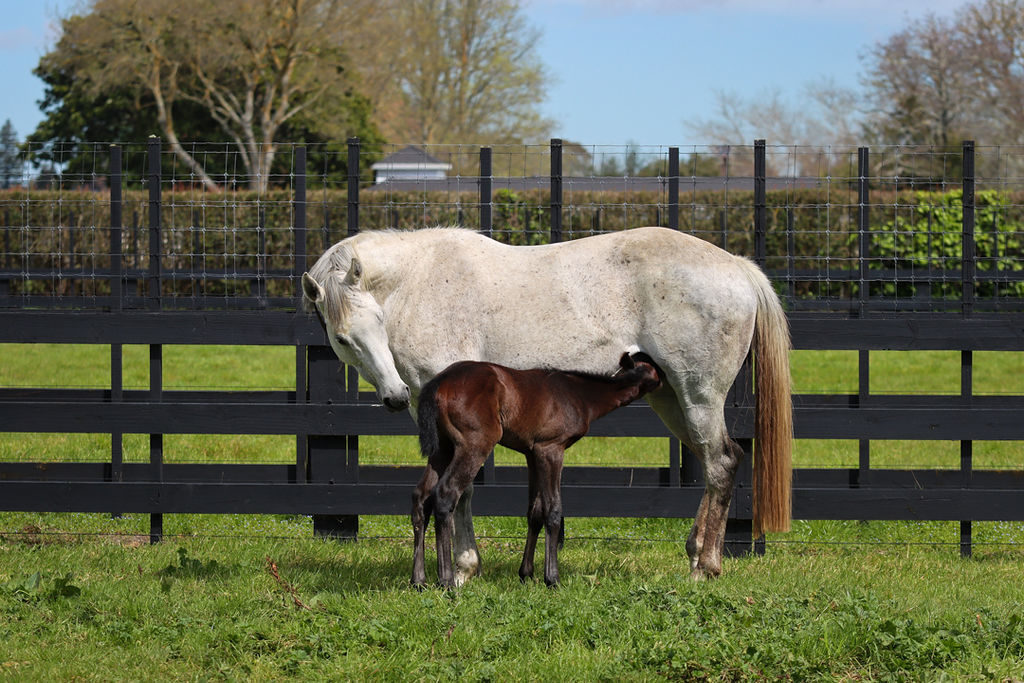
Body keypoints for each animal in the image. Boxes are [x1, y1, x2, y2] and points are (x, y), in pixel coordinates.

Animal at [411, 352, 659, 589]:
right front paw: (552, 578)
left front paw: (526, 574)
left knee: (422, 497)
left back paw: (419, 581)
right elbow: (553, 510)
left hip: (443, 449)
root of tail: (440, 381)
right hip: (474, 445)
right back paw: (446, 581)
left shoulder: (532, 454)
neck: (579, 394)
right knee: (445, 494)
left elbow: (535, 512)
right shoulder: (551, 449)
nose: (664, 381)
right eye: (654, 371)